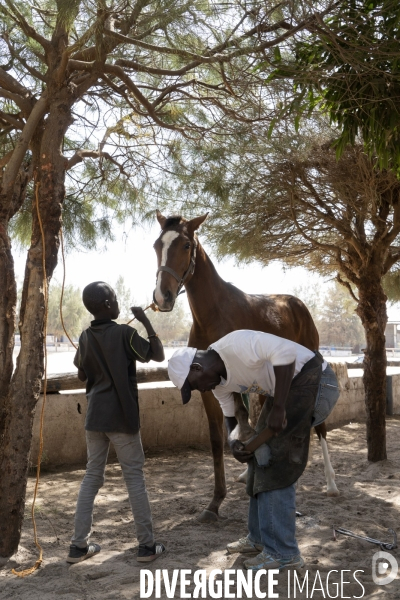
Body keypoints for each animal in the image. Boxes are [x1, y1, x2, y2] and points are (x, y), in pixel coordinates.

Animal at [152, 211, 338, 520]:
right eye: (157, 245)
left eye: (187, 245)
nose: (162, 296)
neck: (213, 316)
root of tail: (297, 303)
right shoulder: (209, 388)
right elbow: (220, 438)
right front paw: (215, 502)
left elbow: (244, 420)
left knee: (319, 425)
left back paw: (331, 483)